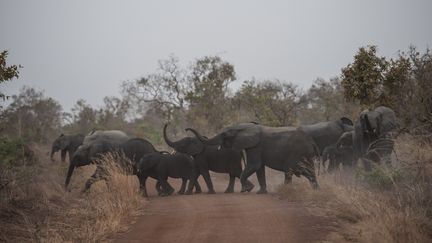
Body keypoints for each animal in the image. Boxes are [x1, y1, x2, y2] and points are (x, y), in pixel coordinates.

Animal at [186, 123, 320, 194]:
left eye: (225, 135)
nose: (186, 129)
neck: (242, 127)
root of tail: (312, 142)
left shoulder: (255, 146)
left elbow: (254, 166)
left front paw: (246, 190)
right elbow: (259, 169)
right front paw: (260, 192)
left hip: (296, 153)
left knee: (289, 171)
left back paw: (287, 190)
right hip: (306, 156)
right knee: (310, 172)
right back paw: (317, 190)